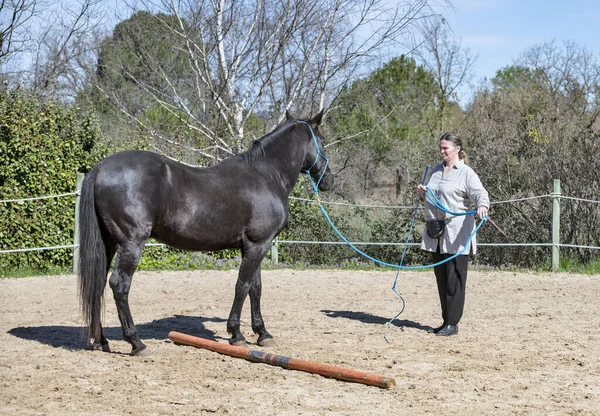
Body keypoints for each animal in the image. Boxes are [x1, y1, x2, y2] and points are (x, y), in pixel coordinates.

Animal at [77, 109, 332, 354]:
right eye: (323, 141)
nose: (329, 180)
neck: (266, 174)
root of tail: (100, 168)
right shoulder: (259, 244)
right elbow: (242, 286)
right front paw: (236, 334)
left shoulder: (254, 246)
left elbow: (255, 288)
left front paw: (263, 334)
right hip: (131, 243)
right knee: (119, 285)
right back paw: (136, 343)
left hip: (108, 243)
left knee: (98, 284)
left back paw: (101, 341)